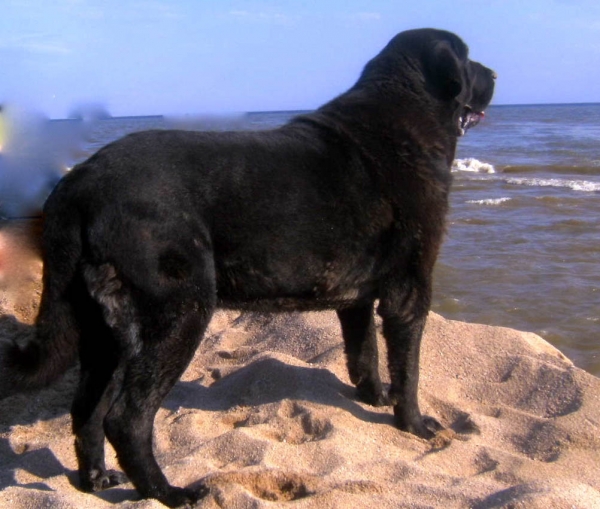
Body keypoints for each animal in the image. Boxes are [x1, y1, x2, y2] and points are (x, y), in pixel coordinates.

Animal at [2, 28, 494, 508]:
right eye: (468, 58)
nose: (493, 74)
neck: (404, 119)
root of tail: (77, 184)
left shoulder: (356, 300)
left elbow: (364, 354)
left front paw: (374, 397)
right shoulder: (410, 289)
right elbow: (408, 370)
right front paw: (415, 424)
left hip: (104, 329)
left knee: (87, 410)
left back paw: (96, 480)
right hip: (180, 312)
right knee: (127, 419)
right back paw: (169, 493)